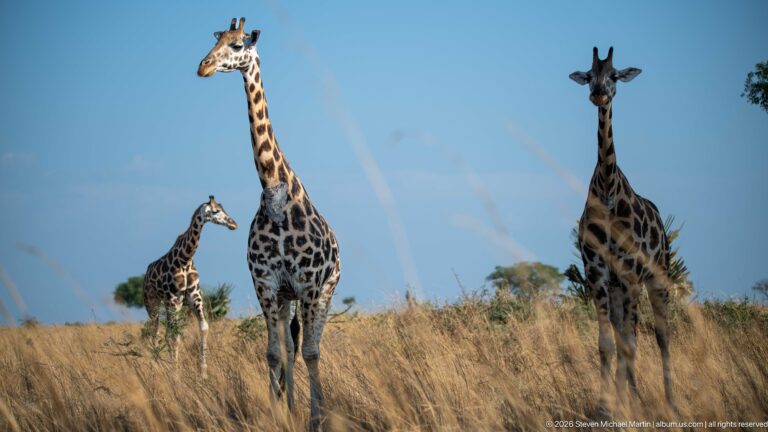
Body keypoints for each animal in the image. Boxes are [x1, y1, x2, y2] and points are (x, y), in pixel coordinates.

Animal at [143, 195, 237, 376]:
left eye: (224, 208)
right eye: (216, 211)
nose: (233, 223)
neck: (185, 259)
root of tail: (145, 274)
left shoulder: (195, 297)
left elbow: (204, 328)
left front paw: (203, 372)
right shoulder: (173, 299)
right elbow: (175, 336)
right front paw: (175, 374)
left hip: (171, 305)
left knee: (163, 332)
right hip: (153, 303)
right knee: (155, 332)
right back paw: (157, 366)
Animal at [197, 18, 341, 430]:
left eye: (238, 44)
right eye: (217, 40)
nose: (203, 67)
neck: (274, 190)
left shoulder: (308, 283)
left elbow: (310, 352)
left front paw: (315, 418)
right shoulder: (266, 284)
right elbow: (275, 352)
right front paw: (279, 411)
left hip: (326, 290)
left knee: (313, 345)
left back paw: (315, 408)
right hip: (285, 297)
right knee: (291, 345)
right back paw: (290, 403)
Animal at [569, 47, 675, 410]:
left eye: (614, 75)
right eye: (589, 74)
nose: (599, 93)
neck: (607, 188)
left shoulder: (630, 273)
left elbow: (630, 342)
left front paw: (627, 402)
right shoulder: (597, 273)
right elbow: (607, 343)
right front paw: (605, 406)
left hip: (657, 277)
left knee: (661, 336)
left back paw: (669, 401)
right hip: (618, 287)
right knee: (625, 335)